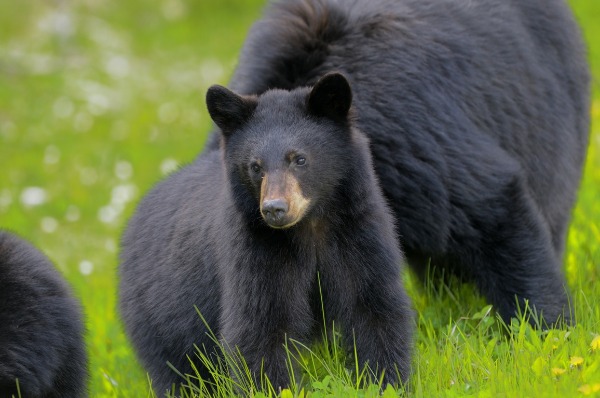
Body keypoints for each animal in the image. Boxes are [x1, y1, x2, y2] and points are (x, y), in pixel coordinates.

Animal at [119, 73, 414, 394]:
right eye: (255, 166)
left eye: (299, 159)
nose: (275, 209)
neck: (308, 227)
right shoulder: (256, 247)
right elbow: (260, 327)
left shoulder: (358, 232)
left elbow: (373, 305)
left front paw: (386, 382)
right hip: (159, 315)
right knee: (177, 371)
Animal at [207, 0, 592, 324]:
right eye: (254, 170)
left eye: (300, 160)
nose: (273, 210)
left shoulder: (409, 143)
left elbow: (488, 203)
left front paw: (547, 325)